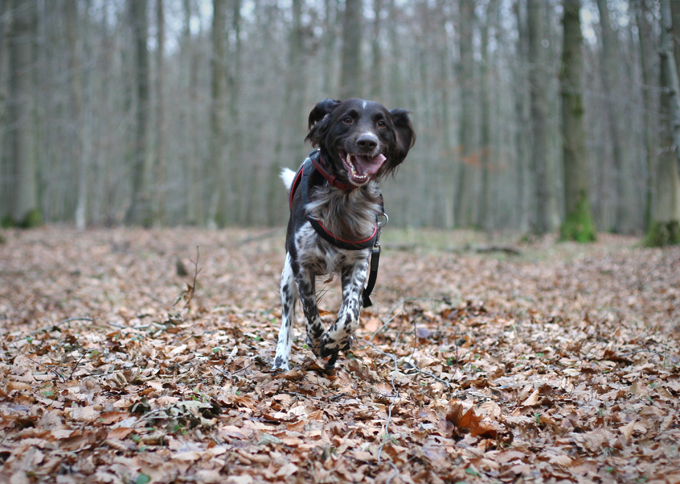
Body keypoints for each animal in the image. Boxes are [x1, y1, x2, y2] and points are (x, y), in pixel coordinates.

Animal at [270, 97, 414, 370]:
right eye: (347, 119)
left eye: (381, 123)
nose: (367, 142)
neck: (344, 197)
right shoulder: (301, 264)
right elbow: (311, 314)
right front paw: (318, 342)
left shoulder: (358, 263)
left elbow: (350, 315)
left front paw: (335, 341)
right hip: (287, 277)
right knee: (286, 321)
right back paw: (281, 361)